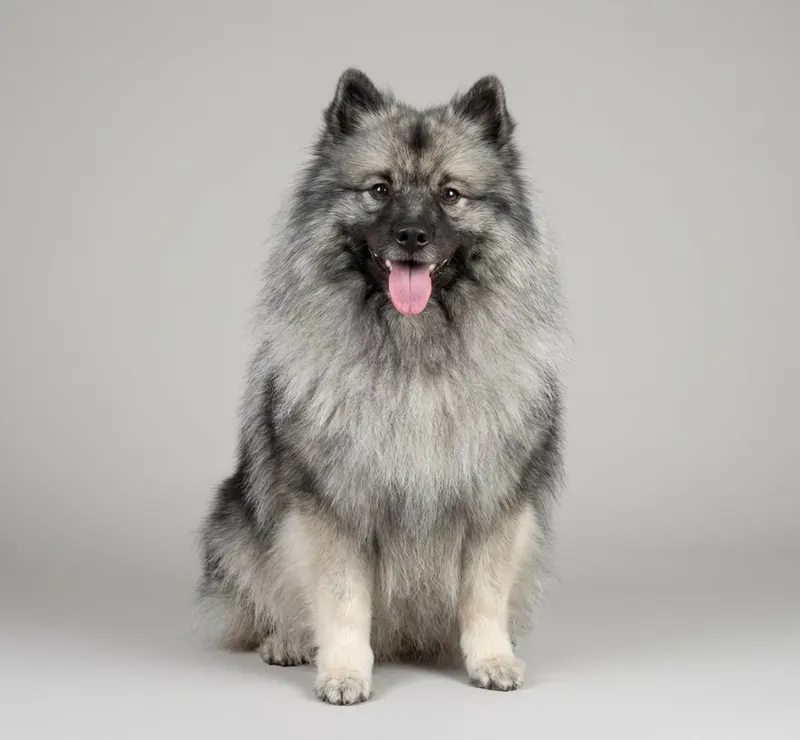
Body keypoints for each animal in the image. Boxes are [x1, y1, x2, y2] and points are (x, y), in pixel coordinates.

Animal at [198, 68, 566, 705]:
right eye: (379, 189)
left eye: (450, 194)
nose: (412, 236)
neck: (412, 353)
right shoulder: (336, 506)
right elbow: (343, 600)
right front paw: (345, 672)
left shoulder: (494, 506)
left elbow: (484, 596)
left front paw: (491, 659)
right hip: (234, 519)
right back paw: (288, 640)